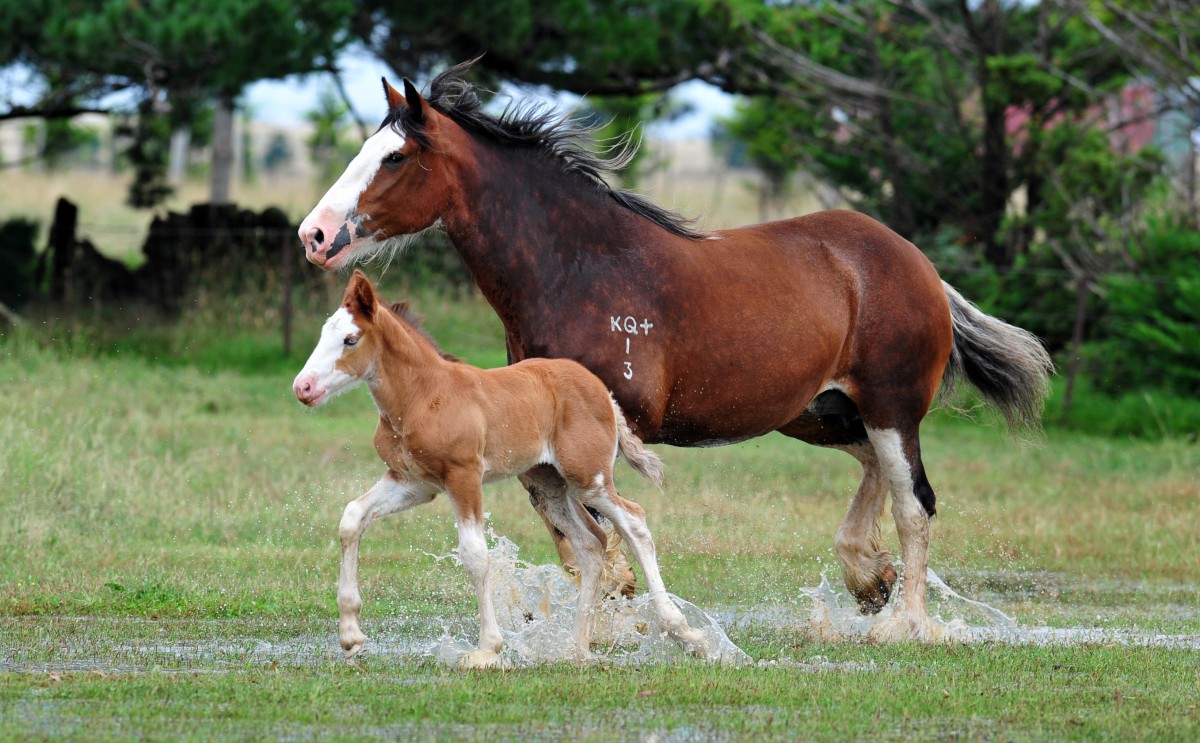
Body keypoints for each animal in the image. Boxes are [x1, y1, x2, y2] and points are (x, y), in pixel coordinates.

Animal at [293, 270, 708, 667]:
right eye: (323, 335)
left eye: (350, 340)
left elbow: (475, 554)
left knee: (634, 522)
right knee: (591, 543)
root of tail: (603, 391)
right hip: (547, 484)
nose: (303, 387)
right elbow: (352, 518)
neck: (422, 397)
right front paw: (351, 635)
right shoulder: (413, 482)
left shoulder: (463, 476)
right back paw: (577, 648)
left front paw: (487, 650)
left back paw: (684, 634)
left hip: (588, 477)